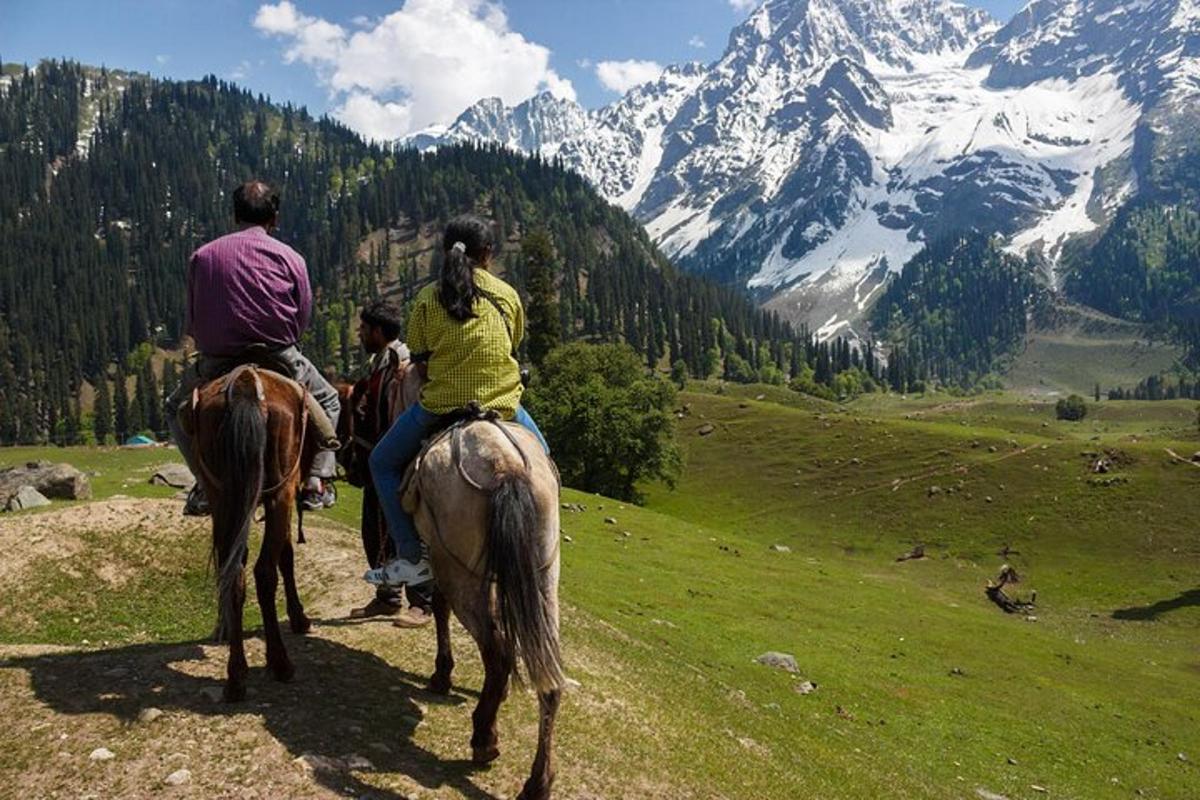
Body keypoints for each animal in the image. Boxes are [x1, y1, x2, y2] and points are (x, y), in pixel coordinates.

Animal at [188, 362, 316, 700]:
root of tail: (246, 383)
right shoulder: (286, 494)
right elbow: (286, 556)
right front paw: (299, 617)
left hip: (221, 496)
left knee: (233, 574)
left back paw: (235, 677)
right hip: (279, 492)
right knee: (264, 572)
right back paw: (280, 663)